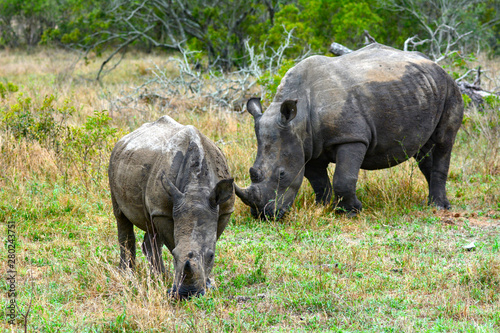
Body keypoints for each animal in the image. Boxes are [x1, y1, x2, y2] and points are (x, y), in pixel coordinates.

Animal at [109, 115, 234, 298]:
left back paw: (158, 275)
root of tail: (123, 139)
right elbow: (171, 242)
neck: (196, 188)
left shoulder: (224, 210)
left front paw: (207, 283)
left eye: (211, 256)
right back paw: (130, 274)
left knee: (151, 226)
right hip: (113, 161)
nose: (189, 293)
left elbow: (212, 238)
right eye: (174, 256)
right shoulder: (164, 212)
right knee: (121, 217)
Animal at [236, 44, 462, 220]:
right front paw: (322, 207)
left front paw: (351, 212)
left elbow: (343, 178)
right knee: (423, 149)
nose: (263, 215)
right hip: (422, 89)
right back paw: (433, 201)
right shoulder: (306, 146)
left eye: (281, 174)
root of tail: (438, 66)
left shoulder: (351, 137)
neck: (298, 121)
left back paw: (439, 206)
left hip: (450, 88)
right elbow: (317, 181)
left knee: (444, 141)